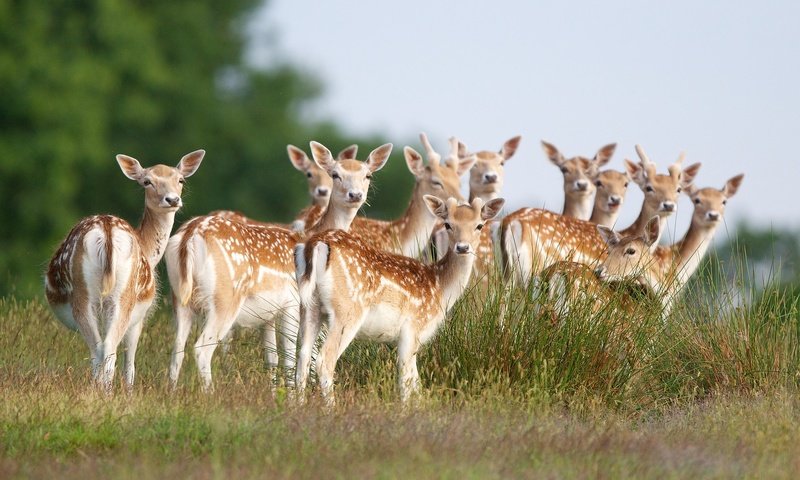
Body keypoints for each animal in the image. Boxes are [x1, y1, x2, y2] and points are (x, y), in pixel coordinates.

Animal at [43, 150, 206, 390]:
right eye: (147, 181)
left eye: (180, 180)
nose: (172, 200)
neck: (148, 250)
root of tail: (106, 233)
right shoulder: (140, 317)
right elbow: (130, 362)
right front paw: (129, 391)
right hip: (123, 297)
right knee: (106, 349)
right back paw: (106, 391)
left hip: (89, 296)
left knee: (99, 349)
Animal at [164, 141, 390, 388]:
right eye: (335, 174)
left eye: (367, 175)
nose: (355, 195)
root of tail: (189, 236)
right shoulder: (293, 303)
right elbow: (292, 357)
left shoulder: (269, 316)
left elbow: (271, 358)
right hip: (224, 297)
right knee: (201, 349)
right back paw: (211, 392)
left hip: (180, 298)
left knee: (177, 349)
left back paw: (172, 392)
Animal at [294, 195, 506, 404]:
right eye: (448, 224)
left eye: (479, 225)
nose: (462, 247)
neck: (440, 288)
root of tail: (315, 243)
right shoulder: (413, 328)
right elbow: (406, 380)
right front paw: (406, 409)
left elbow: (416, 383)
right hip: (347, 310)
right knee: (325, 359)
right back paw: (331, 407)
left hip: (309, 306)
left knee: (303, 357)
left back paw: (299, 405)